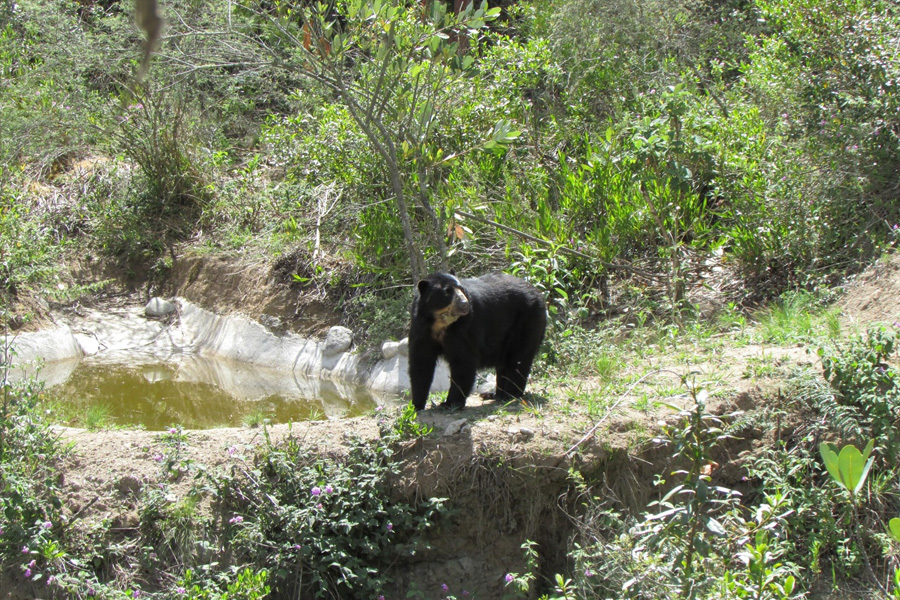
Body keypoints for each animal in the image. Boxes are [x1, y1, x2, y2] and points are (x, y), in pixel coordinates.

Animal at [408, 271, 548, 410]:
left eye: (462, 289)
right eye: (447, 292)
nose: (464, 304)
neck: (440, 323)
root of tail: (539, 293)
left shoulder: (464, 329)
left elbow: (463, 361)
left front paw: (450, 403)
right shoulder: (422, 331)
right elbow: (421, 363)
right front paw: (416, 404)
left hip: (527, 320)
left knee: (519, 357)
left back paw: (510, 394)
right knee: (504, 363)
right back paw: (495, 394)